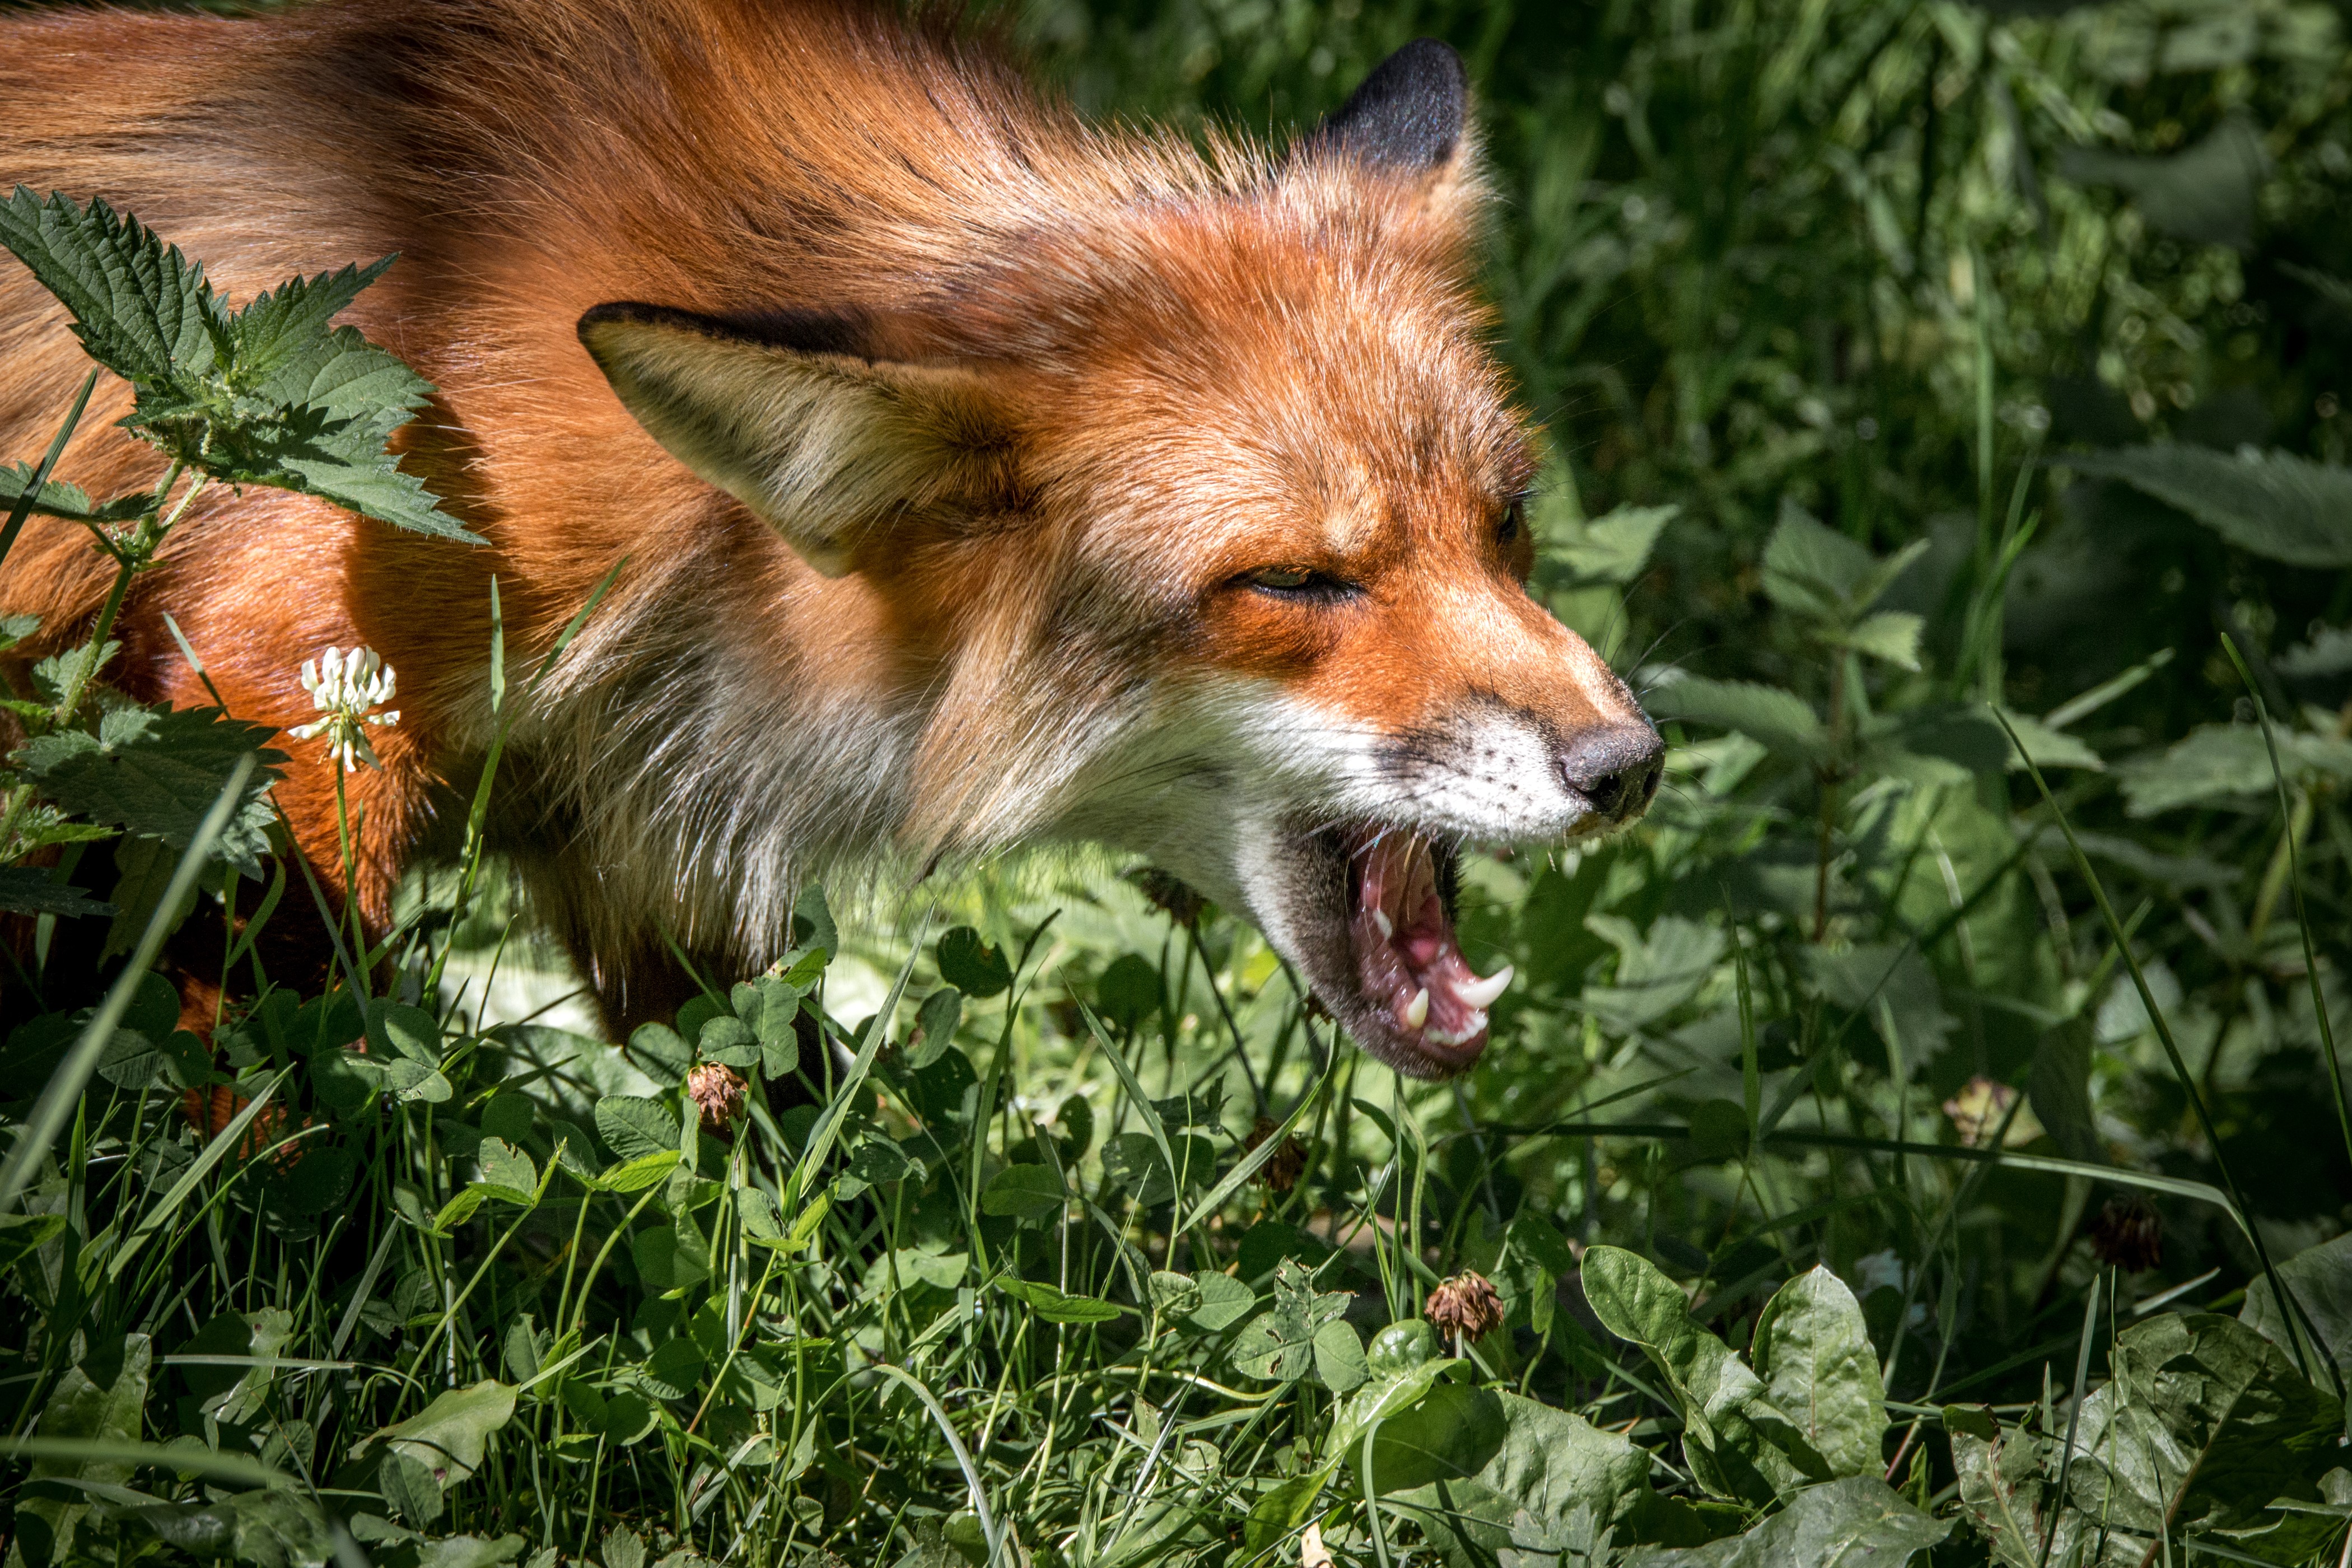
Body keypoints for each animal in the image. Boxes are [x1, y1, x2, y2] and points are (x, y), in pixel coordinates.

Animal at [0, 0, 1663, 1079]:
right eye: (1299, 582)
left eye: (1507, 524)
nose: (1628, 766)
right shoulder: (284, 693)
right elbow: (249, 1088)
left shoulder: (640, 829)